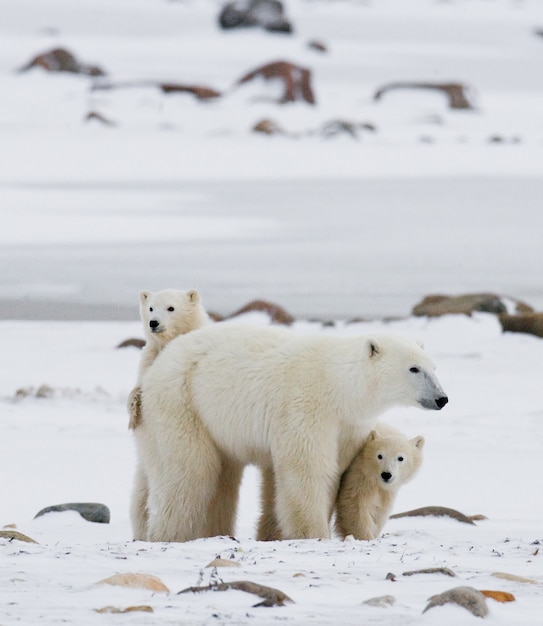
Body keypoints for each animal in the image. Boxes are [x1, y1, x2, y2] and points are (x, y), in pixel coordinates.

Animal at [129, 288, 209, 536]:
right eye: (151, 307)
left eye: (171, 307)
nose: (154, 323)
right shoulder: (149, 359)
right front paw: (133, 406)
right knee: (139, 504)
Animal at [138, 322, 448, 540]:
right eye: (414, 368)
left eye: (434, 367)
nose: (442, 398)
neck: (340, 385)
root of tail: (158, 365)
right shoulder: (306, 405)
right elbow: (307, 468)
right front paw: (313, 533)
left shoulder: (348, 425)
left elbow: (335, 470)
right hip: (183, 401)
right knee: (190, 470)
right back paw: (170, 534)